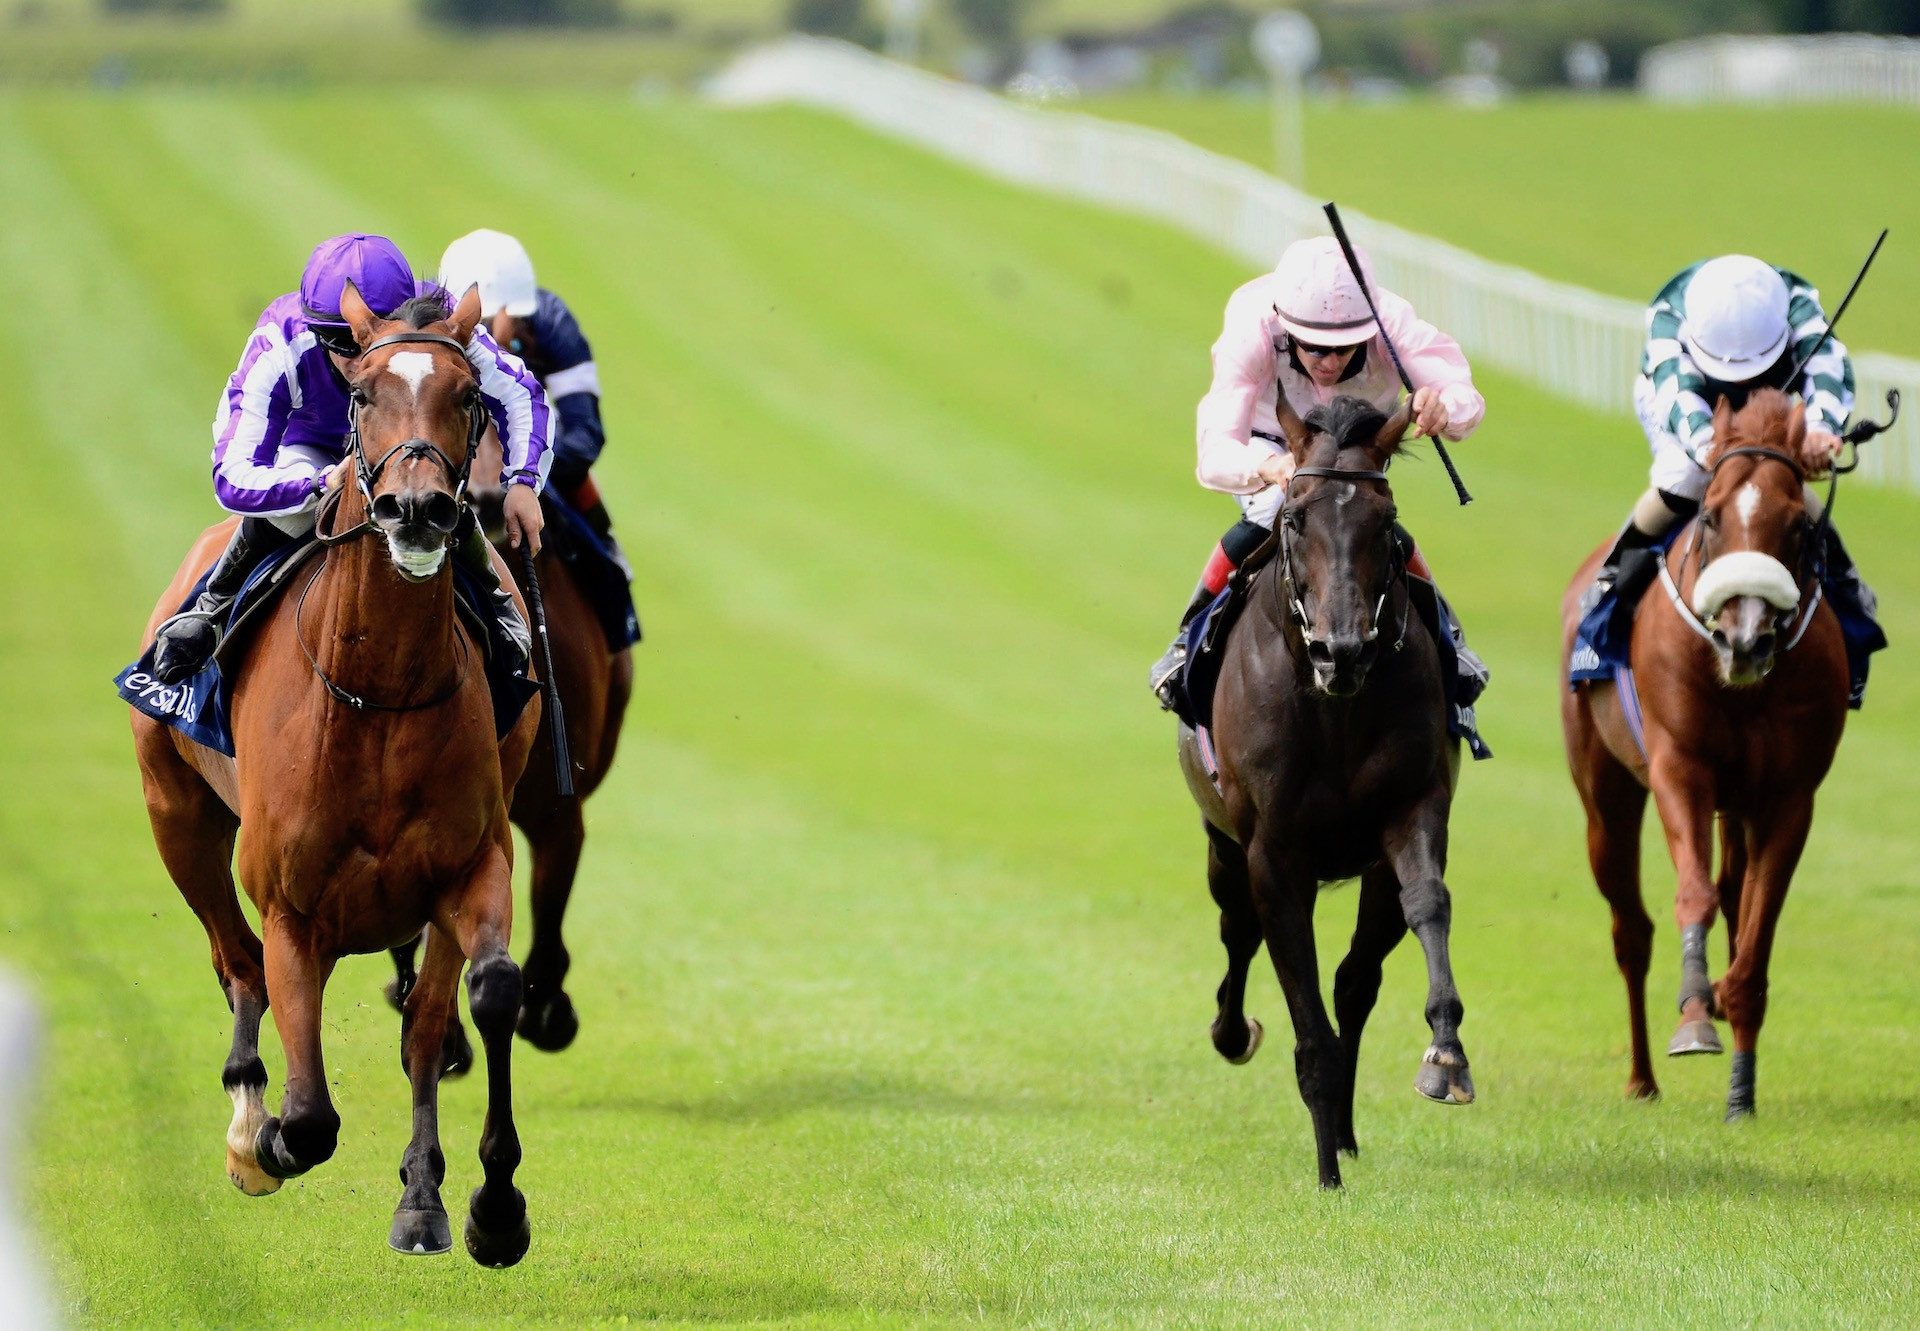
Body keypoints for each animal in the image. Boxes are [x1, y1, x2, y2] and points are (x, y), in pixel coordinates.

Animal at [132, 286, 541, 1259]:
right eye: (361, 393)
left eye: (469, 395)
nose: (419, 509)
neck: (380, 692)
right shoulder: (291, 902)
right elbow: (312, 1115)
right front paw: (271, 1136)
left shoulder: (471, 864)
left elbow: (485, 995)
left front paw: (491, 1203)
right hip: (178, 819)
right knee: (236, 959)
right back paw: (250, 1118)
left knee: (420, 1024)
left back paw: (423, 1194)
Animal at [1175, 389, 1474, 1190]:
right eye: (1296, 516)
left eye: (1386, 520)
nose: (1342, 650)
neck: (1335, 705)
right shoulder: (1274, 853)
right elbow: (1301, 1005)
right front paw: (1325, 1175)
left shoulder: (1411, 810)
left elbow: (1428, 903)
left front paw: (1445, 1053)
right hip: (1222, 846)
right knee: (1237, 930)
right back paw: (1233, 1032)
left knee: (1355, 979)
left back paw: (1344, 1128)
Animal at [1559, 389, 1843, 1113]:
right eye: (1711, 517)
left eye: (1798, 527)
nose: (1747, 638)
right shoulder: (1679, 769)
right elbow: (1694, 896)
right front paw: (1692, 1014)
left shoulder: (1789, 798)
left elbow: (1755, 934)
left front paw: (1741, 1085)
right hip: (1605, 799)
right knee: (1631, 930)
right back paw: (1641, 1076)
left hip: (1736, 806)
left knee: (1733, 889)